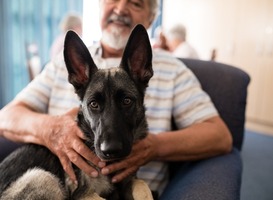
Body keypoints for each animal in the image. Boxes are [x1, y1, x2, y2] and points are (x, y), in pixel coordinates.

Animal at [0, 23, 153, 200]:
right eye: (93, 104)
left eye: (127, 101)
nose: (111, 150)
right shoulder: (83, 193)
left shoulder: (128, 181)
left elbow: (142, 185)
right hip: (44, 177)